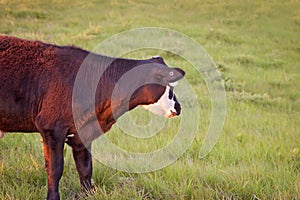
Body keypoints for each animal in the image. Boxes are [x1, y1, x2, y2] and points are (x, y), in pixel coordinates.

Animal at [0, 36, 185, 200]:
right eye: (168, 86)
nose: (178, 107)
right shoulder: (51, 128)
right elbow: (55, 169)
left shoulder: (82, 133)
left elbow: (85, 168)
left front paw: (88, 195)